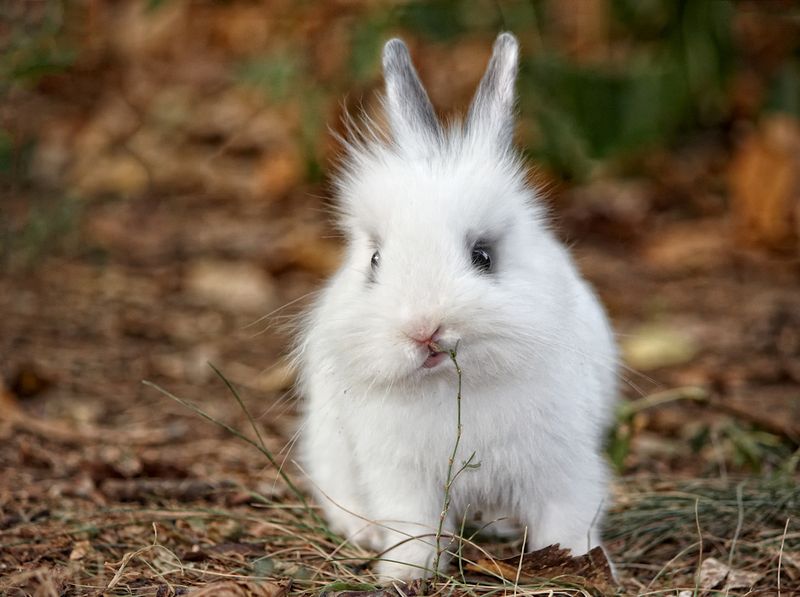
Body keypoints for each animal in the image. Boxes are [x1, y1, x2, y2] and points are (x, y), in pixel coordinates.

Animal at [296, 32, 618, 583]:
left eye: (483, 256)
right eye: (375, 260)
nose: (423, 329)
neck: (451, 386)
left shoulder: (563, 468)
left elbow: (566, 520)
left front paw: (575, 562)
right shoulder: (402, 478)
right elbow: (415, 530)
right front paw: (403, 575)